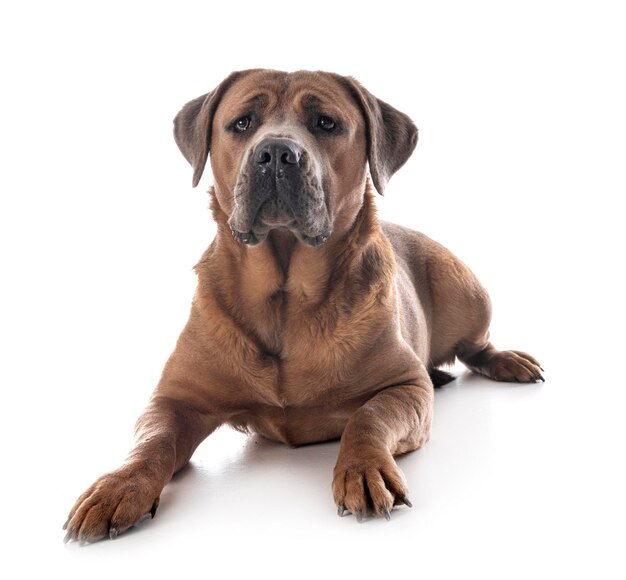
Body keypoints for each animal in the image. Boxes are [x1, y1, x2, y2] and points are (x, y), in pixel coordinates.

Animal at [64, 69, 540, 544]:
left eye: (326, 123)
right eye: (242, 123)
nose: (277, 152)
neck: (284, 298)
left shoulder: (405, 385)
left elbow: (368, 416)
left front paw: (363, 468)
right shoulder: (176, 400)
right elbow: (153, 441)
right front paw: (119, 486)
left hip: (465, 291)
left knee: (477, 346)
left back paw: (506, 361)